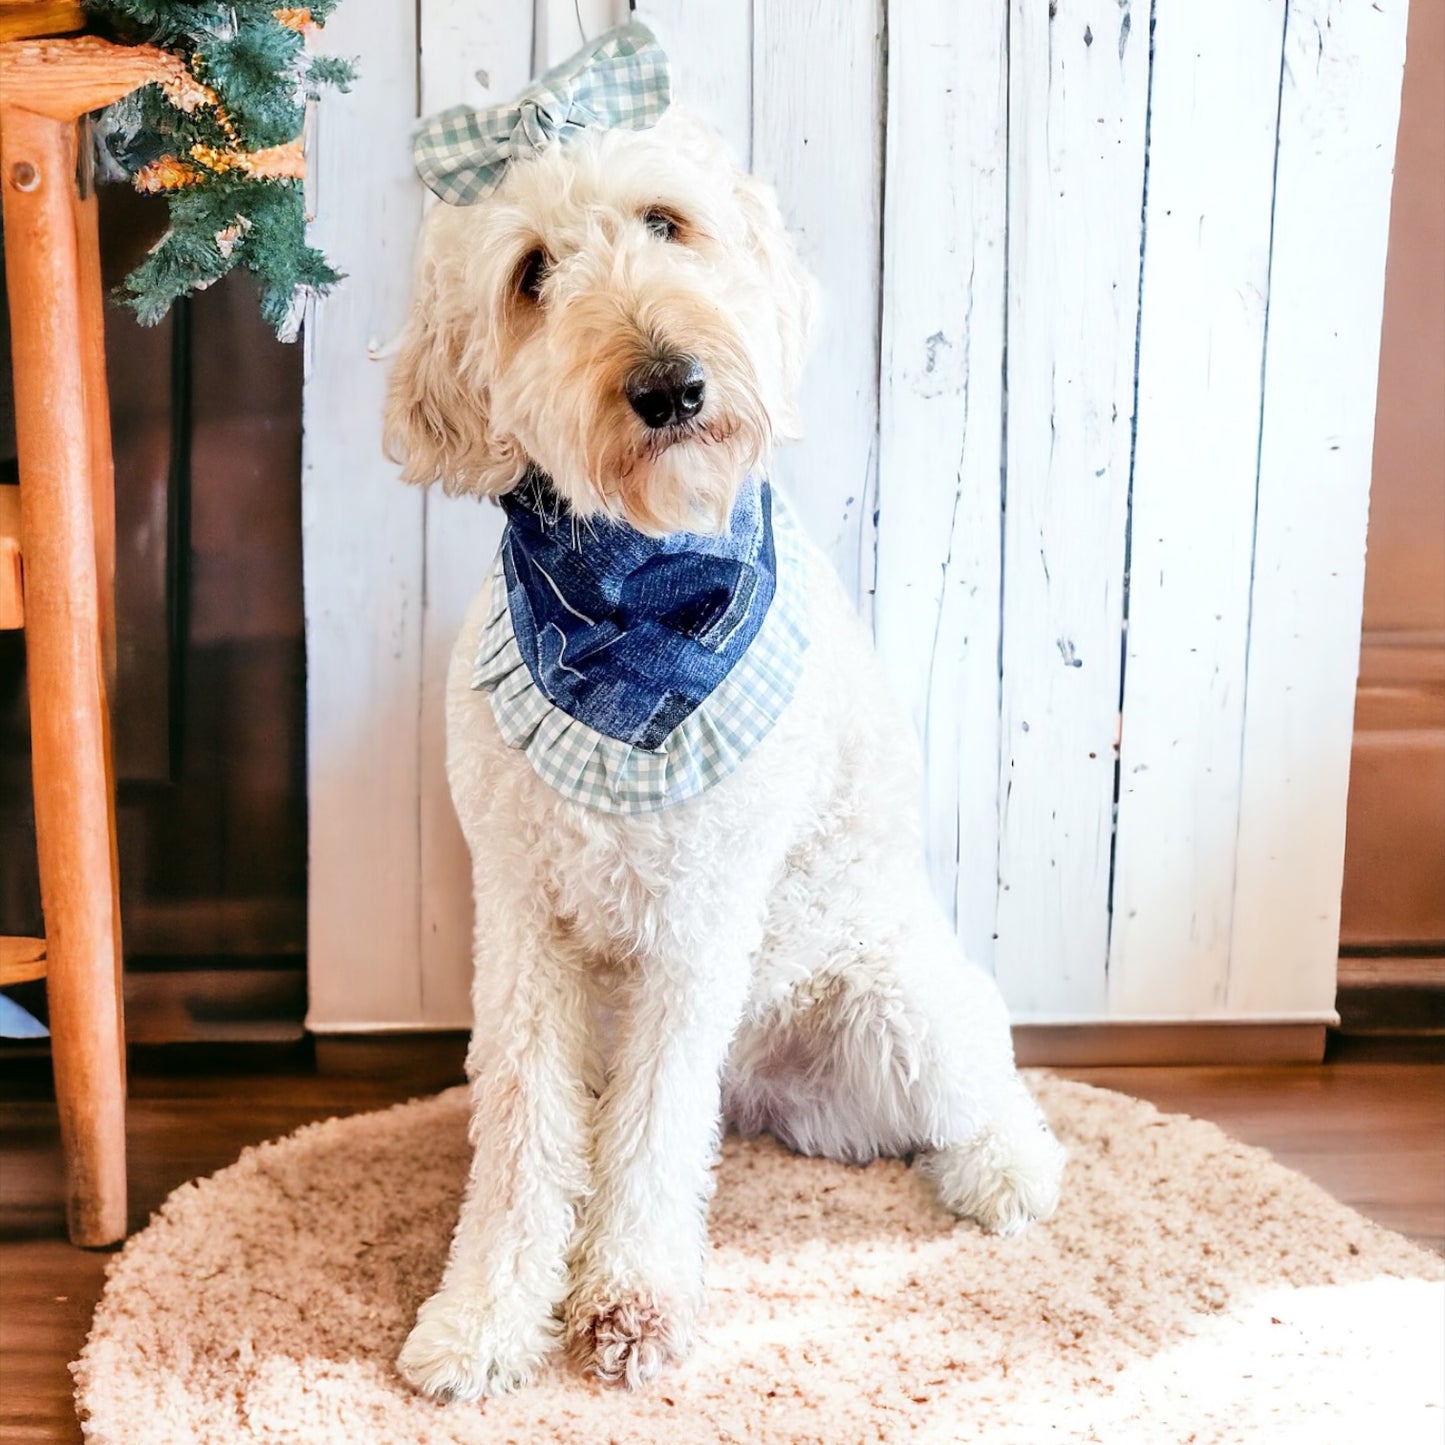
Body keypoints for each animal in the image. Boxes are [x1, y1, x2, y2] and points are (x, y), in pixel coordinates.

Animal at [381, 101, 1063, 1398]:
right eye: (531, 273)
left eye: (666, 222)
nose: (667, 384)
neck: (636, 604)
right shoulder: (522, 916)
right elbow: (525, 1130)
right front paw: (486, 1314)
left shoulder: (695, 919)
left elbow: (652, 1135)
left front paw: (629, 1304)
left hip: (905, 1004)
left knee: (988, 1097)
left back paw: (1002, 1174)